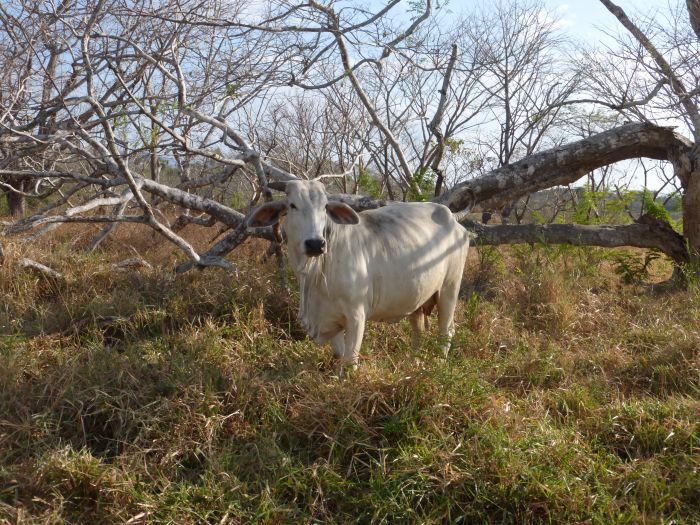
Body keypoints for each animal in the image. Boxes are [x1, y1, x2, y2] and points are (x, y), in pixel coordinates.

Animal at [247, 179, 470, 364]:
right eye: (293, 205)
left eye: (324, 207)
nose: (315, 244)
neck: (315, 273)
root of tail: (452, 217)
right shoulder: (330, 321)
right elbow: (339, 356)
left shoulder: (356, 316)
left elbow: (350, 361)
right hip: (418, 298)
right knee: (419, 332)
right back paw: (413, 365)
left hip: (449, 290)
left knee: (446, 332)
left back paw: (438, 364)